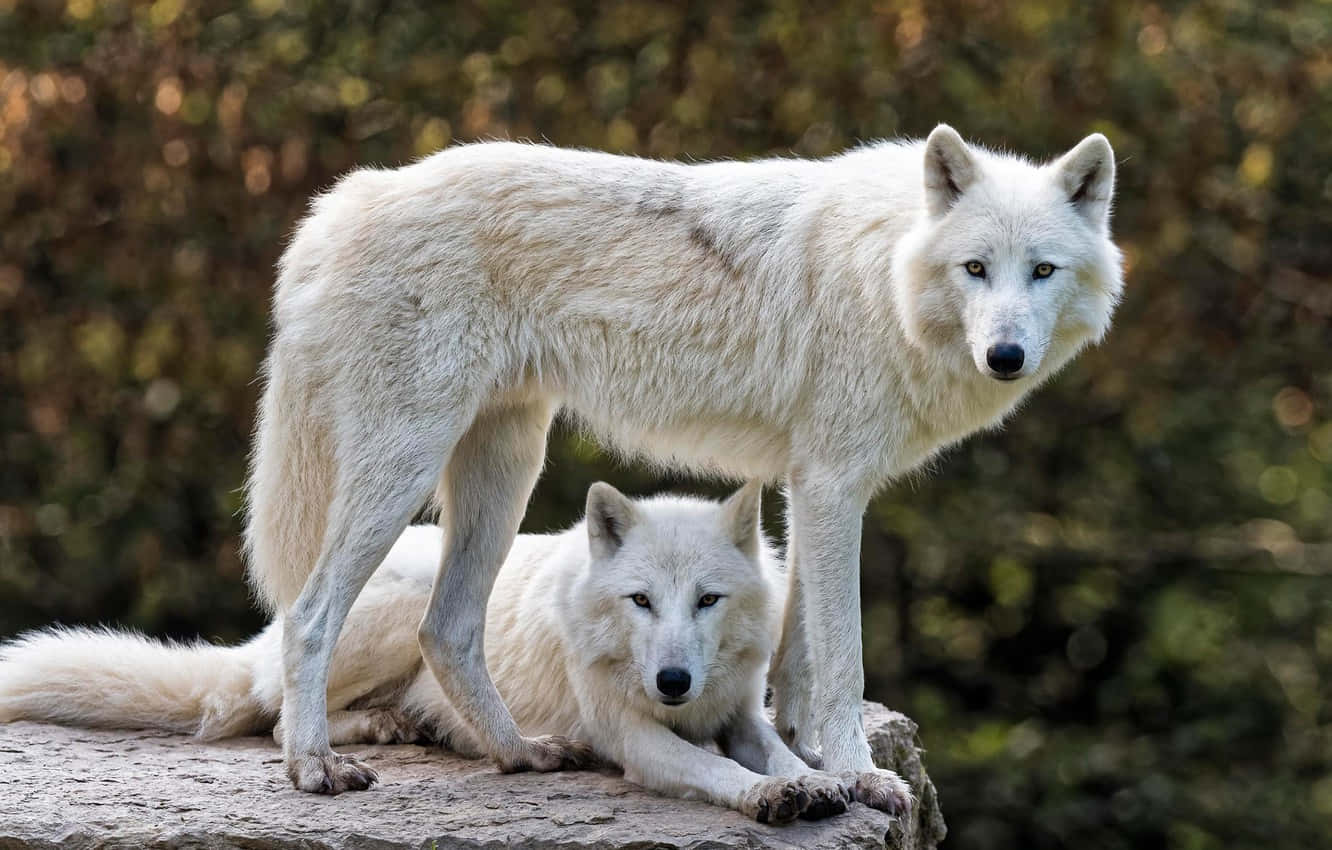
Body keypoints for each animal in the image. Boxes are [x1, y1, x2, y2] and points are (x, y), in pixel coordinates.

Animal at [5, 484, 895, 826]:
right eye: (641, 600)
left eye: (707, 600)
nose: (673, 681)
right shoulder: (633, 737)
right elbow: (716, 771)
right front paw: (770, 799)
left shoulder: (741, 714)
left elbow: (780, 752)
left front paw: (830, 781)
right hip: (396, 615)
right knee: (273, 714)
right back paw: (370, 739)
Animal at [245, 123, 1118, 804]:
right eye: (976, 268)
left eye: (1042, 271)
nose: (1005, 356)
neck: (885, 274)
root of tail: (348, 199)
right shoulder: (833, 488)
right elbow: (844, 660)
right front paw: (862, 774)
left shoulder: (809, 488)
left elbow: (796, 656)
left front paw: (802, 756)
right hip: (407, 467)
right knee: (310, 615)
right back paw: (314, 765)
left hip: (506, 468)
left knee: (448, 628)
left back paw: (519, 753)